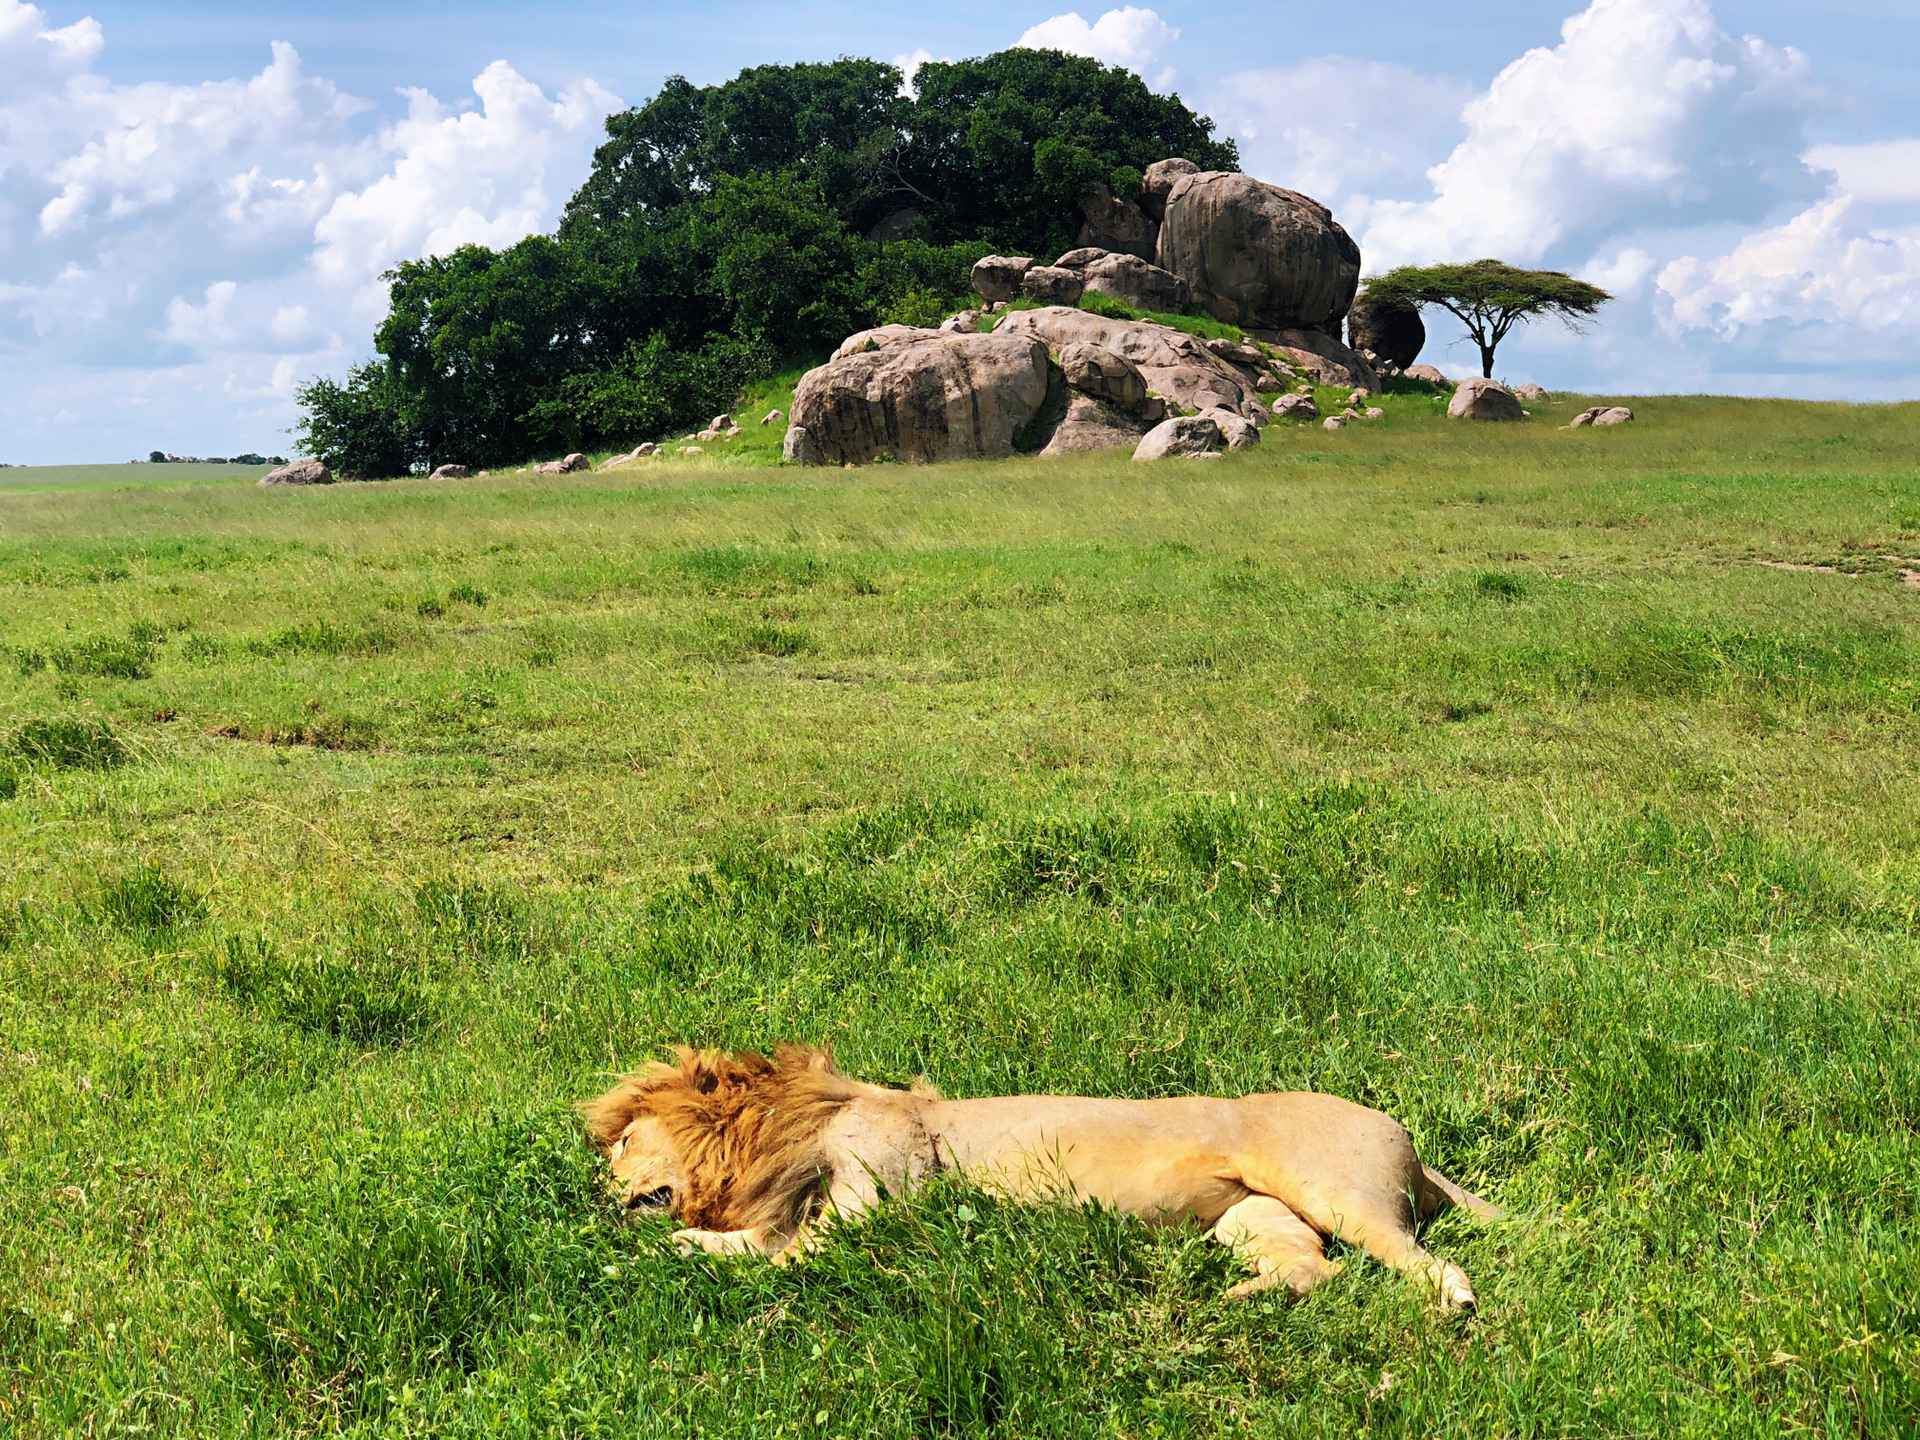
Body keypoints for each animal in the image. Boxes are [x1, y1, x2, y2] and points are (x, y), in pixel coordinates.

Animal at [576, 1044, 1505, 1313]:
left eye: (621, 1147)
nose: (595, 1194)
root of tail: (1407, 1136)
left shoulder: (870, 1209)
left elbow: (771, 1256)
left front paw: (643, 1257)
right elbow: (752, 1244)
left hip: (1332, 1190)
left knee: (1426, 1260)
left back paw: (1457, 1303)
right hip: (1249, 1217)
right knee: (1314, 1270)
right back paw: (1228, 1301)